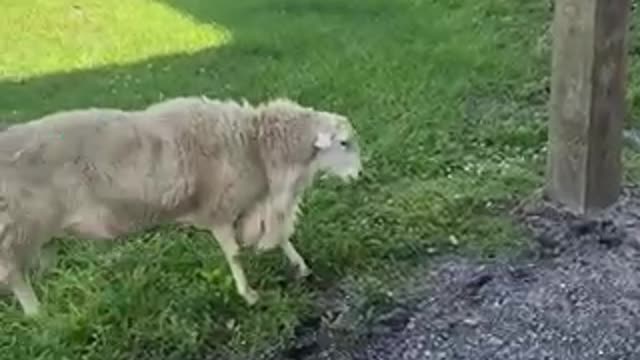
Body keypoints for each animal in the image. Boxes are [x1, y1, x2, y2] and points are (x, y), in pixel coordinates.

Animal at [0, 96, 360, 316]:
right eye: (344, 143)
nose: (359, 175)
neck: (256, 145)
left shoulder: (253, 204)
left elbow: (281, 236)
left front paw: (301, 267)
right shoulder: (219, 208)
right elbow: (235, 255)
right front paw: (249, 295)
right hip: (18, 228)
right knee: (14, 274)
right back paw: (37, 314)